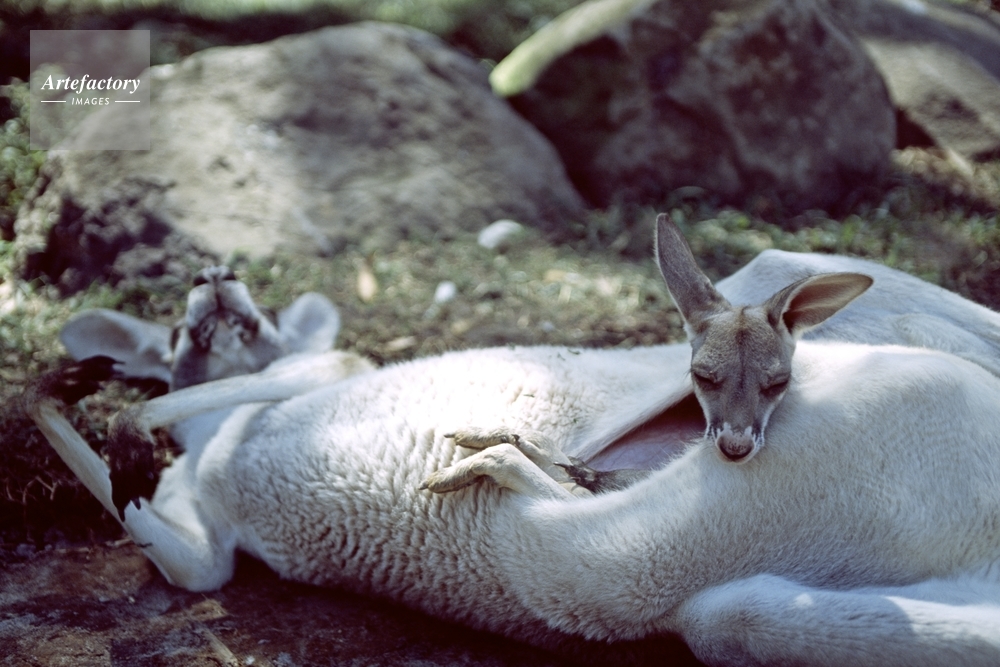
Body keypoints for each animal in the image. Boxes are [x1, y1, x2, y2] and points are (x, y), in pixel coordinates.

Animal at [24, 214, 1000, 666]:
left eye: (248, 313)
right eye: (179, 329)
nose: (215, 273)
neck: (212, 444)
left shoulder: (315, 369)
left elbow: (310, 366)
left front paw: (83, 396)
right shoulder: (207, 531)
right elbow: (192, 565)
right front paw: (81, 403)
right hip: (701, 574)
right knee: (720, 611)